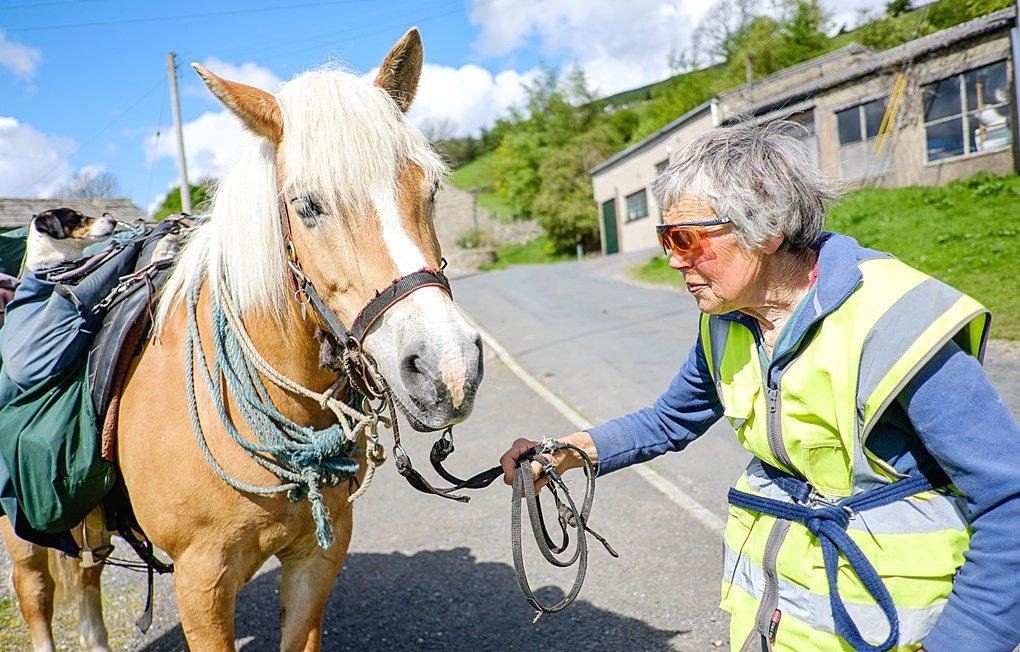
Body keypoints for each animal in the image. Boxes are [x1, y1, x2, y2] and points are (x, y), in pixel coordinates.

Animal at [2, 28, 481, 648]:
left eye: (431, 188)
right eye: (307, 206)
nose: (449, 367)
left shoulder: (315, 560)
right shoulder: (201, 582)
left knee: (88, 578)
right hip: (21, 527)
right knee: (36, 593)